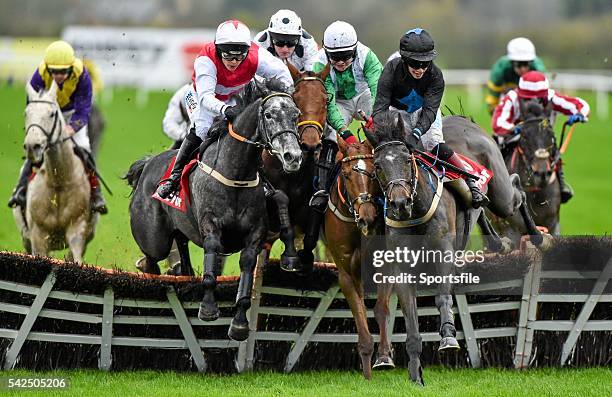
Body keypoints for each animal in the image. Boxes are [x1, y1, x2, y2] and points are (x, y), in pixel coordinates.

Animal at [13, 82, 97, 262]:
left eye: (52, 114)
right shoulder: (37, 235)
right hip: (26, 236)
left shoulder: (77, 228)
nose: (32, 146)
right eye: (26, 113)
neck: (59, 181)